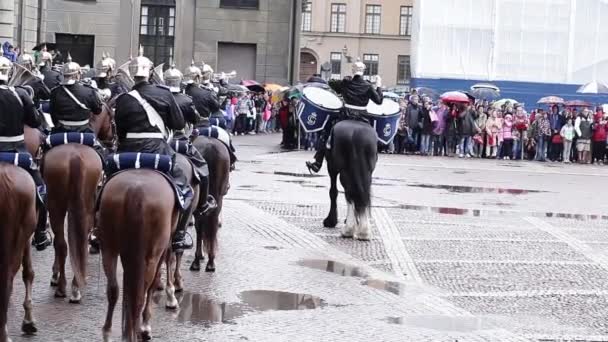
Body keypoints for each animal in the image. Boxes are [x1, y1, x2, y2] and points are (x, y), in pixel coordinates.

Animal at [44, 104, 115, 302]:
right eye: (111, 117)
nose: (112, 141)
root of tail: (74, 157)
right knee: (76, 239)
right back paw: (73, 286)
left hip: (56, 204)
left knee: (62, 243)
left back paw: (63, 286)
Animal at [98, 170, 178, 340]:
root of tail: (135, 192)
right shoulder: (161, 250)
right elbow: (156, 280)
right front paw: (145, 326)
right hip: (150, 255)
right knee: (141, 294)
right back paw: (139, 329)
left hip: (109, 247)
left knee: (114, 289)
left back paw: (108, 332)